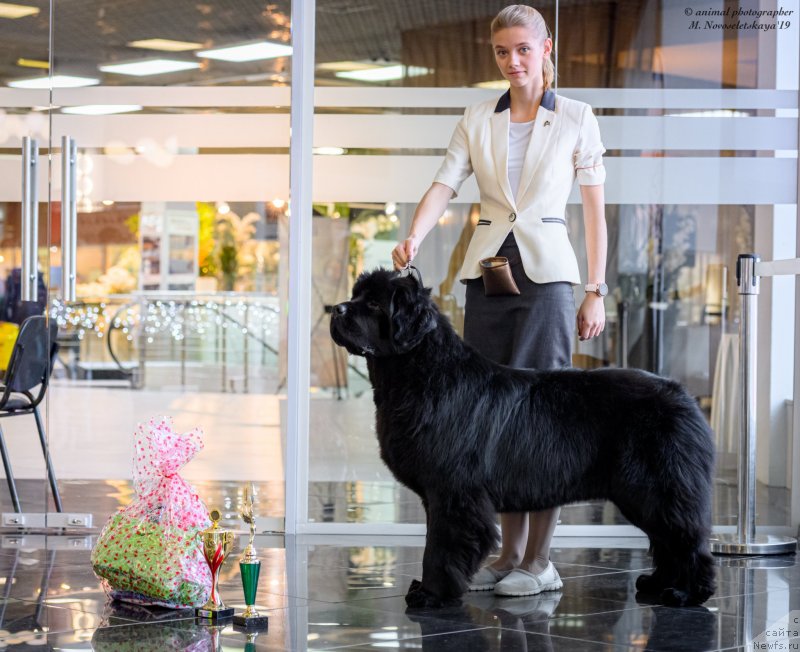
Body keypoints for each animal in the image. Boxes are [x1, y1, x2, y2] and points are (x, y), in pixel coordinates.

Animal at [328, 268, 716, 608]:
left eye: (375, 304)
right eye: (356, 295)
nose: (336, 309)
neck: (422, 374)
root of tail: (685, 396)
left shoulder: (454, 494)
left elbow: (439, 548)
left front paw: (430, 595)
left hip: (657, 487)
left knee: (685, 538)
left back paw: (686, 593)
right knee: (667, 539)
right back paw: (658, 583)